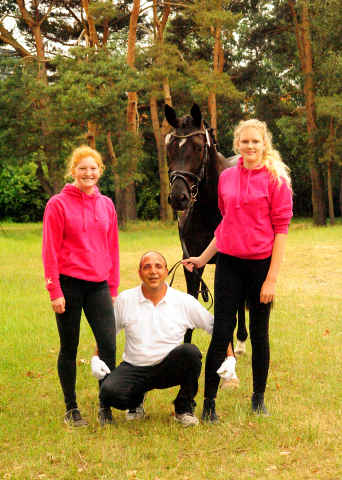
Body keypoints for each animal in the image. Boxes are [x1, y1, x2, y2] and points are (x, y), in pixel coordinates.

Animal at [164, 103, 247, 350]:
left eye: (199, 147)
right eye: (169, 148)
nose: (178, 198)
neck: (210, 210)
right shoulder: (191, 264)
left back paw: (241, 341)